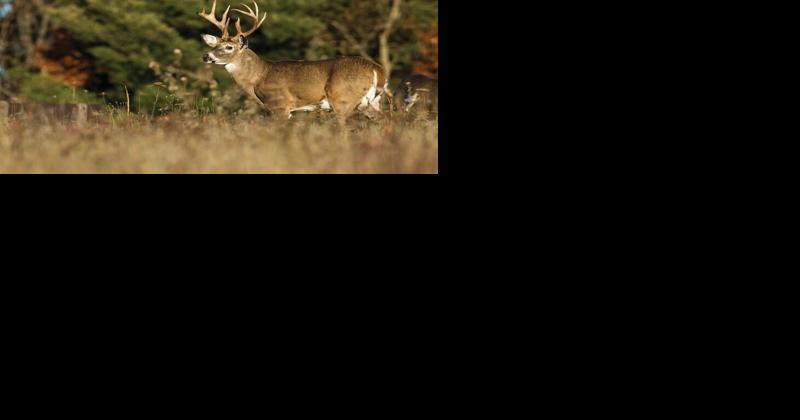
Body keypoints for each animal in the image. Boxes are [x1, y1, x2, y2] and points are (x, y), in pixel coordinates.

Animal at [199, 0, 389, 122]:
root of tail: (377, 70)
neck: (259, 76)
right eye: (215, 44)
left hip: (343, 98)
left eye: (229, 47)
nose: (206, 56)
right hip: (372, 103)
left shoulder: (279, 105)